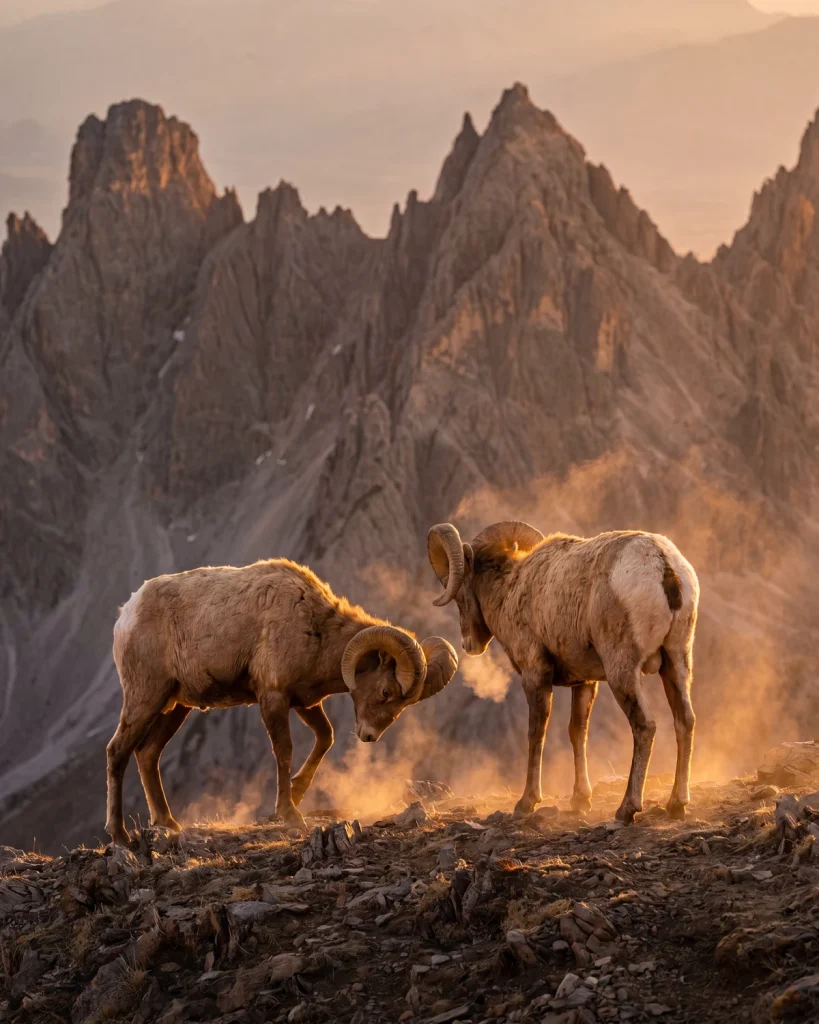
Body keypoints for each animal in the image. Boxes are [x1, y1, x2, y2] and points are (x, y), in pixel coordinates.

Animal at [106, 558, 458, 844]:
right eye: (386, 692)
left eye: (404, 705)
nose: (368, 736)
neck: (316, 628)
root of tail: (126, 614)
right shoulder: (273, 696)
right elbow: (284, 751)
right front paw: (289, 814)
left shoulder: (303, 702)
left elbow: (325, 737)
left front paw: (298, 792)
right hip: (145, 698)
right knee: (118, 751)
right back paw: (120, 836)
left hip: (175, 707)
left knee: (148, 754)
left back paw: (167, 823)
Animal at [427, 521, 699, 823]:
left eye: (460, 593)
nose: (468, 644)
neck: (511, 590)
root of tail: (663, 566)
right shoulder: (585, 682)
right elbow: (577, 732)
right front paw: (580, 800)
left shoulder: (535, 676)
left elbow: (537, 733)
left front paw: (526, 802)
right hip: (676, 662)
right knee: (685, 720)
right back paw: (676, 804)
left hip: (623, 671)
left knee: (645, 726)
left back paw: (627, 808)